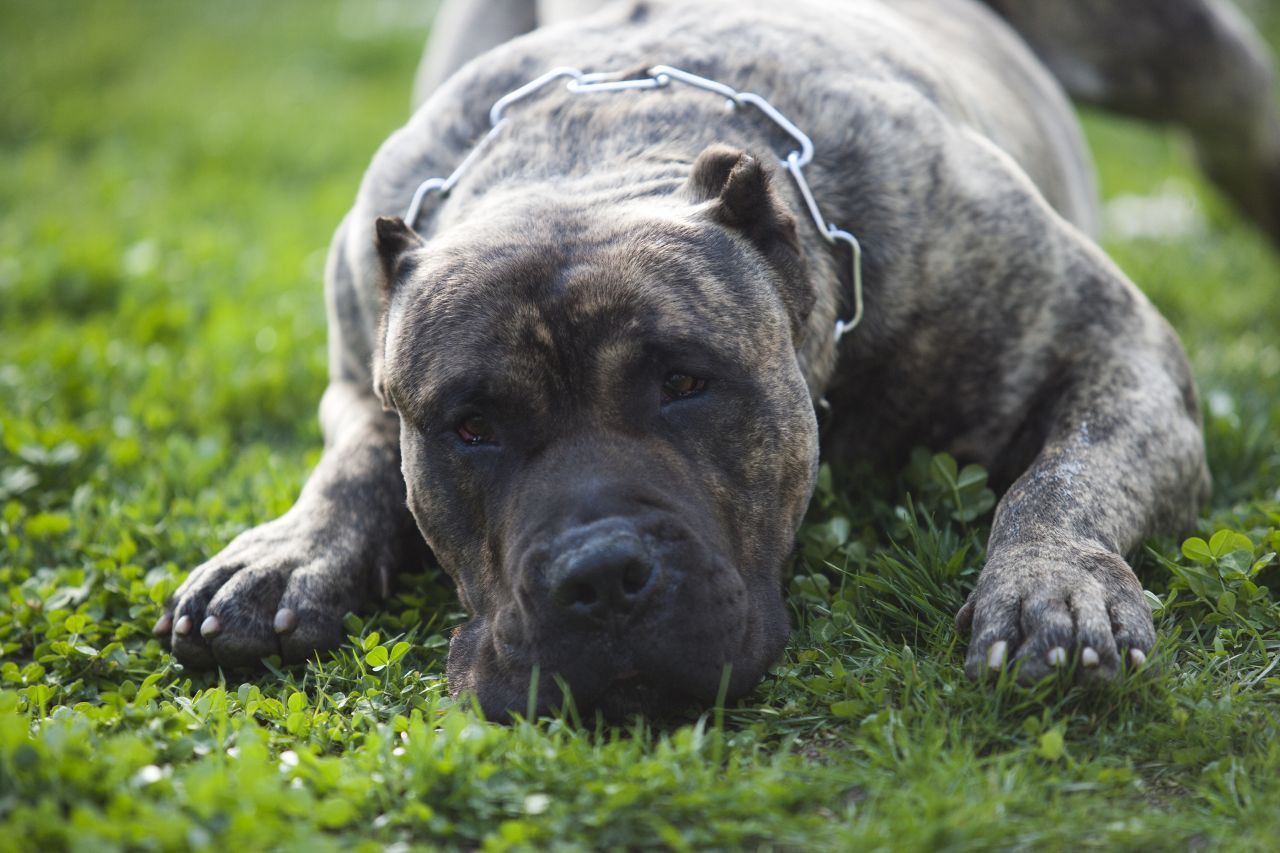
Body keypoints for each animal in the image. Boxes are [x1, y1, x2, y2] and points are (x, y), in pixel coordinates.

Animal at [154, 0, 1280, 717]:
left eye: (686, 384)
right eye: (468, 428)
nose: (599, 575)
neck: (605, 148)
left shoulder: (1111, 348)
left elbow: (1063, 477)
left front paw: (1053, 586)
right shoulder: (360, 375)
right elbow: (350, 466)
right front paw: (284, 552)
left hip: (1180, 52)